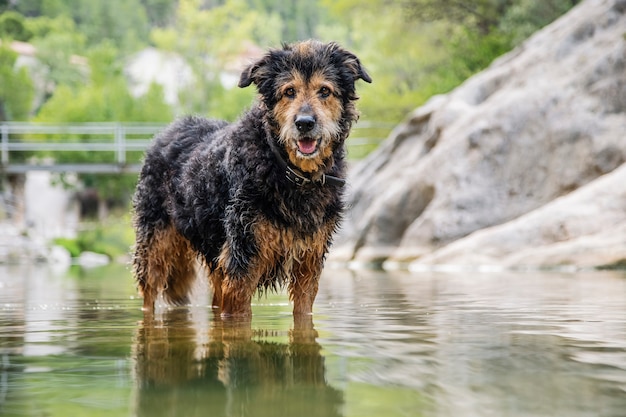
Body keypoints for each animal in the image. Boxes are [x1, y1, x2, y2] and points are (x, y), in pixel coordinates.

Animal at [129, 41, 368, 316]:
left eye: (325, 91)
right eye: (289, 91)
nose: (304, 123)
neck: (289, 170)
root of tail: (166, 131)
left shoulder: (309, 259)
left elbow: (303, 310)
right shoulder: (243, 257)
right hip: (155, 244)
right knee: (149, 292)